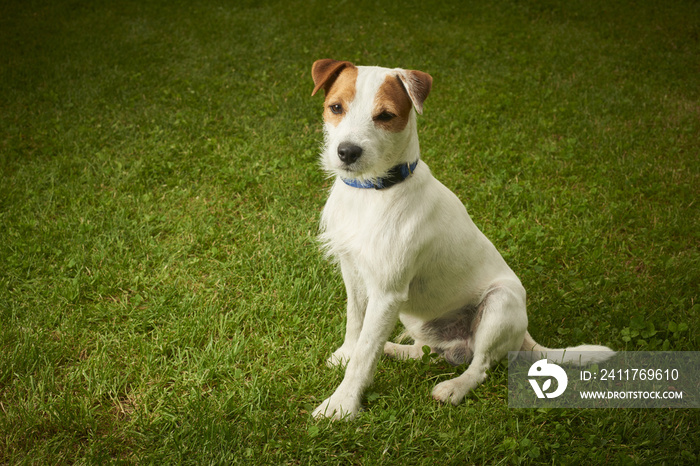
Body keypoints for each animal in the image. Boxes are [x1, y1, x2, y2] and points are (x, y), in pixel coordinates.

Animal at [310, 60, 612, 420]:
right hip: (414, 316)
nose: (347, 152)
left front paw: (341, 404)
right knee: (425, 351)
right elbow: (355, 325)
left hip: (499, 303)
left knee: (480, 365)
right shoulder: (354, 273)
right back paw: (395, 349)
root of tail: (524, 334)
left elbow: (364, 354)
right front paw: (345, 353)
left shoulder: (386, 292)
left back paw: (454, 387)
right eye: (336, 108)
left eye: (385, 115)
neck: (372, 193)